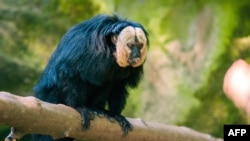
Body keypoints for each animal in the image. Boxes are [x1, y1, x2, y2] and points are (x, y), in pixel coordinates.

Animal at [31, 13, 148, 141]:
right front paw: (78, 106)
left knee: (108, 82)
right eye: (131, 46)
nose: (137, 54)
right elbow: (69, 72)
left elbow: (118, 85)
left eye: (140, 46)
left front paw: (115, 114)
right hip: (50, 97)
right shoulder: (86, 47)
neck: (111, 50)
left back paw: (97, 109)